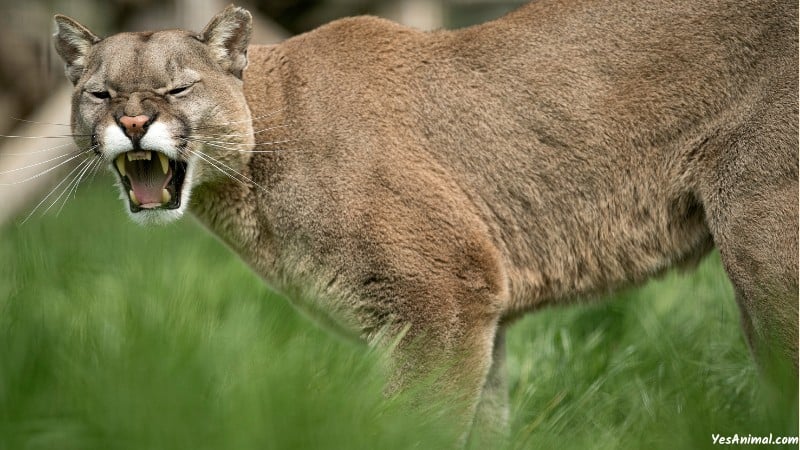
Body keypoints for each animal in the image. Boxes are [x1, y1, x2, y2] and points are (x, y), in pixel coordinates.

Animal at [54, 0, 792, 442]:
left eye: (178, 88)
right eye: (101, 93)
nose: (132, 122)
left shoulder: (442, 299)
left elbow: (413, 424)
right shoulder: (477, 313)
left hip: (764, 243)